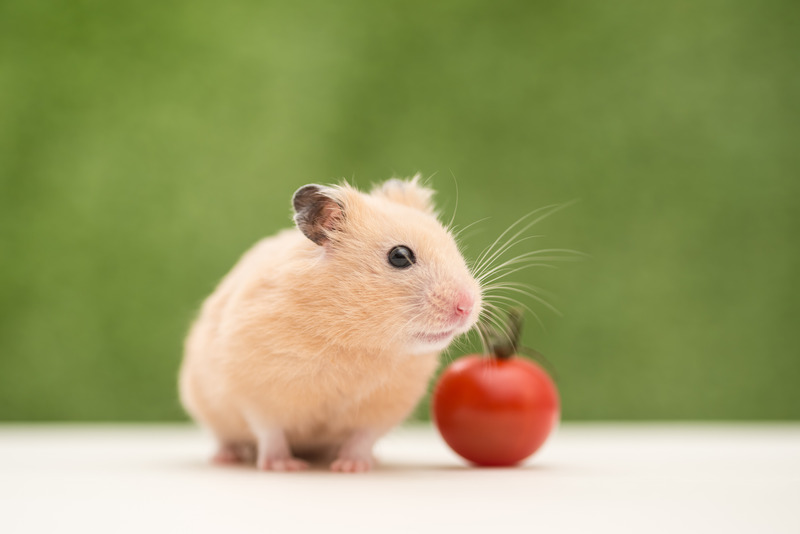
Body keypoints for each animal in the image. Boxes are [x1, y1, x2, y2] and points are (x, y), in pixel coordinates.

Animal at [179, 176, 482, 472]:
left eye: (452, 247)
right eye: (399, 256)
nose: (467, 306)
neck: (356, 339)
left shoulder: (384, 406)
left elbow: (362, 437)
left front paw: (352, 467)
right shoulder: (256, 391)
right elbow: (270, 431)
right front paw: (283, 466)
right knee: (224, 437)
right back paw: (226, 457)